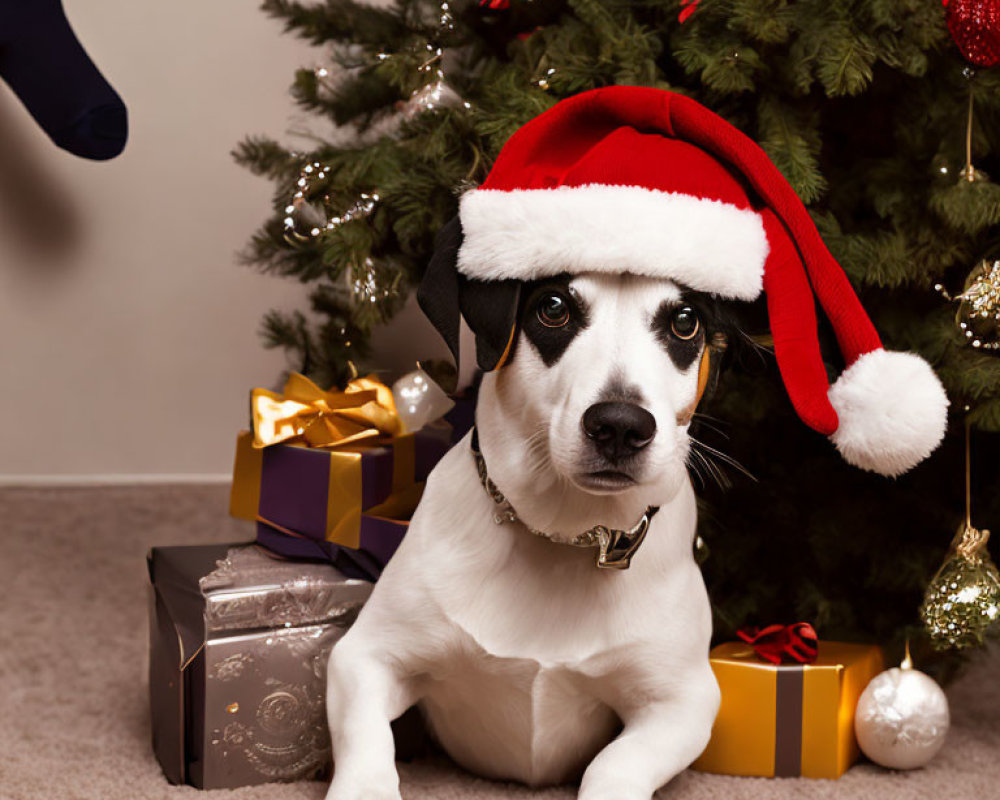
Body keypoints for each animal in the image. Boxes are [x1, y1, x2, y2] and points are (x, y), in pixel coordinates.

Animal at [324, 219, 740, 800]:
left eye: (684, 322)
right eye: (553, 308)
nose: (620, 425)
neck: (564, 535)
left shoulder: (683, 701)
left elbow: (614, 763)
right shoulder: (365, 657)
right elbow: (367, 742)